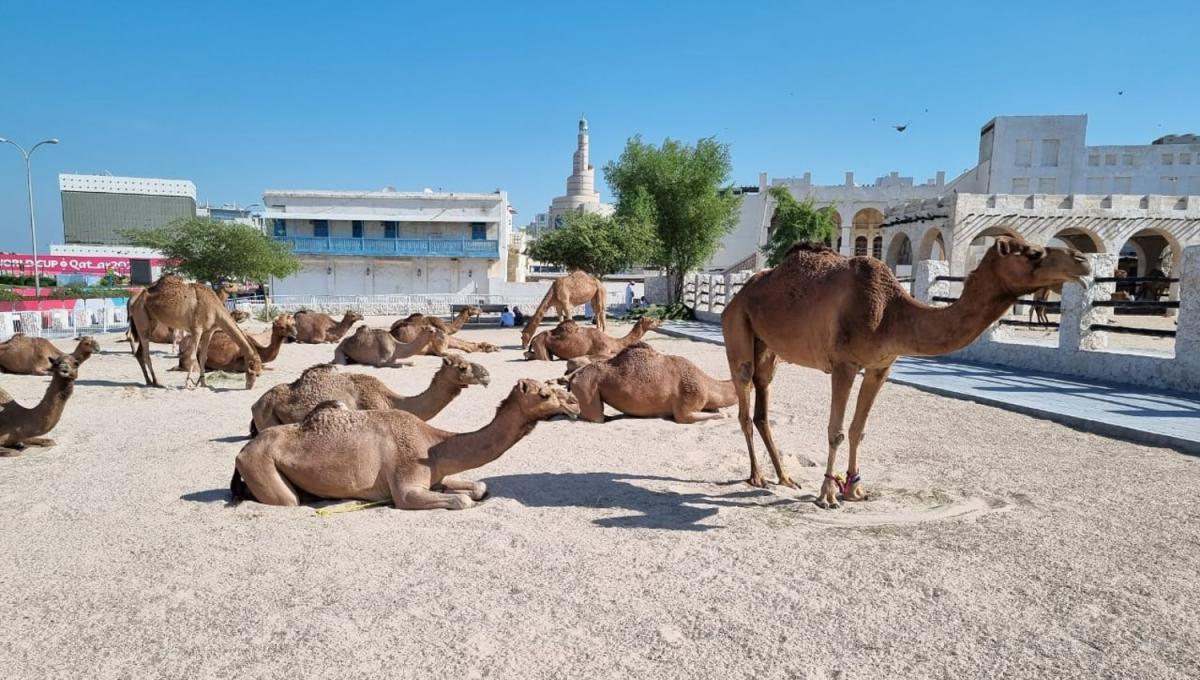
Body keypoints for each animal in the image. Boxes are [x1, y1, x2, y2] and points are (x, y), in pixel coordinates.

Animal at [131, 272, 262, 388]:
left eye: (259, 374)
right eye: (252, 372)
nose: (249, 386)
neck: (215, 309)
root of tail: (134, 301)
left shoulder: (209, 331)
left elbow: (203, 357)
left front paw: (203, 383)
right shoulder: (197, 329)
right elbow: (193, 356)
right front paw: (188, 384)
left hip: (151, 323)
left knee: (139, 353)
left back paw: (148, 381)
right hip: (141, 318)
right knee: (146, 353)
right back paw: (156, 382)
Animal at [232, 378, 580, 510]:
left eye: (553, 385)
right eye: (544, 394)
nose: (575, 403)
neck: (432, 445)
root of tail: (241, 452)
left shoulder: (436, 474)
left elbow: (478, 487)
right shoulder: (406, 488)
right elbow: (462, 501)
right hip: (260, 464)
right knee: (286, 500)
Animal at [566, 342, 734, 422]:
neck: (706, 383)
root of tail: (573, 377)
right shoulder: (686, 406)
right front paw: (725, 415)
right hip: (586, 387)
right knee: (595, 417)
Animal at [715, 236, 1094, 508]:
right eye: (1032, 252)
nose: (1083, 260)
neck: (892, 312)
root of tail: (736, 296)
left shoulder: (881, 367)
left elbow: (859, 429)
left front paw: (855, 489)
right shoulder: (844, 364)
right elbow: (836, 430)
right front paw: (828, 495)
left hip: (769, 349)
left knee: (762, 406)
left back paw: (785, 477)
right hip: (738, 330)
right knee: (744, 403)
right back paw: (757, 476)